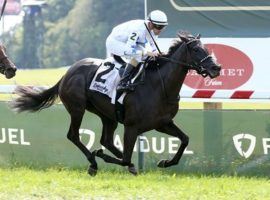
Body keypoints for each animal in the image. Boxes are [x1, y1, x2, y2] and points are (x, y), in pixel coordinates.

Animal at [11, 31, 221, 175]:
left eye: (206, 48)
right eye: (196, 49)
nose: (216, 67)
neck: (159, 86)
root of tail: (67, 73)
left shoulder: (162, 123)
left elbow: (185, 139)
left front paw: (165, 162)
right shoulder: (132, 126)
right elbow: (126, 156)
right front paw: (102, 155)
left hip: (107, 115)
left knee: (107, 140)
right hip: (77, 108)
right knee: (74, 135)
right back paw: (93, 162)